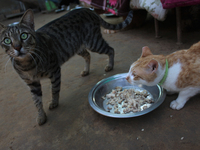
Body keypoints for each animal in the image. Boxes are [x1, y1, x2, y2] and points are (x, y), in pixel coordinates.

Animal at [0, 8, 133, 125]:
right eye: (7, 40)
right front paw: (41, 116)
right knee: (88, 55)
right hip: (77, 46)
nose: (17, 47)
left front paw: (54, 102)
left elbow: (54, 89)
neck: (27, 65)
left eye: (23, 35)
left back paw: (110, 65)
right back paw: (86, 70)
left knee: (110, 49)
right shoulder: (32, 83)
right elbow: (36, 101)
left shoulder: (54, 70)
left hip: (93, 42)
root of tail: (87, 9)